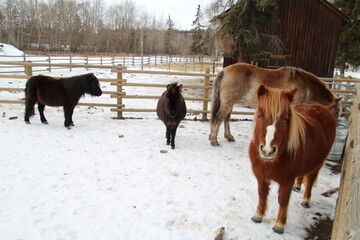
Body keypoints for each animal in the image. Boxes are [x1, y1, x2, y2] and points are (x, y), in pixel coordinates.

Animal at [210, 62, 338, 145]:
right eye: (336, 112)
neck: (304, 84)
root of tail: (224, 71)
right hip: (228, 103)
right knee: (219, 118)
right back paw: (214, 140)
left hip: (230, 103)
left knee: (226, 118)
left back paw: (228, 137)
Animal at [249, 85, 336, 234]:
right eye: (260, 115)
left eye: (285, 119)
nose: (267, 150)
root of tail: (323, 108)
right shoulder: (261, 176)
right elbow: (262, 194)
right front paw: (258, 215)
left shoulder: (287, 181)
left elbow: (283, 201)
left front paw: (280, 225)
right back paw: (298, 186)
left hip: (318, 163)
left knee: (311, 179)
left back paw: (306, 200)